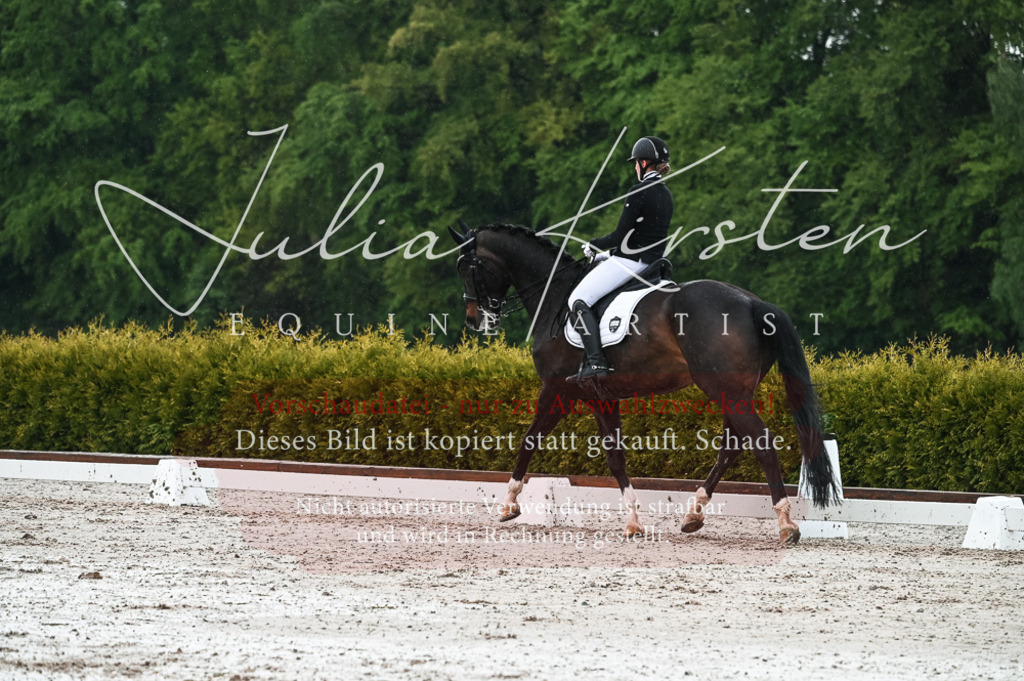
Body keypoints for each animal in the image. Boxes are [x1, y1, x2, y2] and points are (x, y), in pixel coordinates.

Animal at [449, 222, 838, 544]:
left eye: (467, 268)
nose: (473, 320)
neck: (555, 295)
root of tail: (753, 303)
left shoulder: (558, 390)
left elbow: (529, 441)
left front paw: (508, 504)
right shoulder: (601, 397)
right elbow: (616, 457)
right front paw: (634, 523)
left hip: (727, 391)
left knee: (762, 444)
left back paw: (786, 525)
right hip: (735, 392)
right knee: (732, 446)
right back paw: (694, 514)